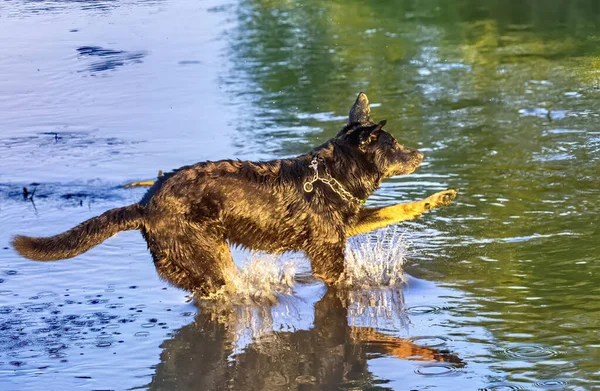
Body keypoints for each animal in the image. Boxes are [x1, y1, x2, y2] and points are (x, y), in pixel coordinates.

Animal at [11, 93, 458, 298]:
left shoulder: (347, 224)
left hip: (194, 264)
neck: (331, 176)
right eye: (394, 145)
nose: (421, 154)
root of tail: (142, 205)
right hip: (208, 253)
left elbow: (400, 208)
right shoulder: (329, 256)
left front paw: (440, 197)